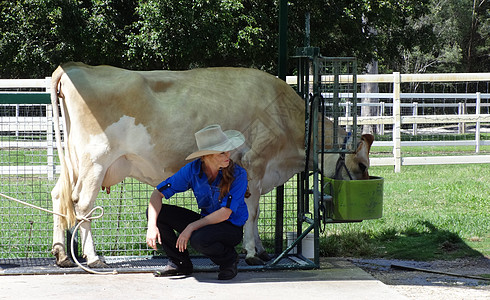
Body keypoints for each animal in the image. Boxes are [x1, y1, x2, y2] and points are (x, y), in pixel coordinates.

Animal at [49, 61, 374, 268]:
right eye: (361, 165)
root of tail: (75, 66)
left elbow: (251, 210)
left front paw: (261, 250)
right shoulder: (256, 162)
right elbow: (251, 213)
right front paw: (252, 252)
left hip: (75, 161)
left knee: (58, 196)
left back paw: (62, 254)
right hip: (95, 159)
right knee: (83, 205)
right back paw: (92, 258)